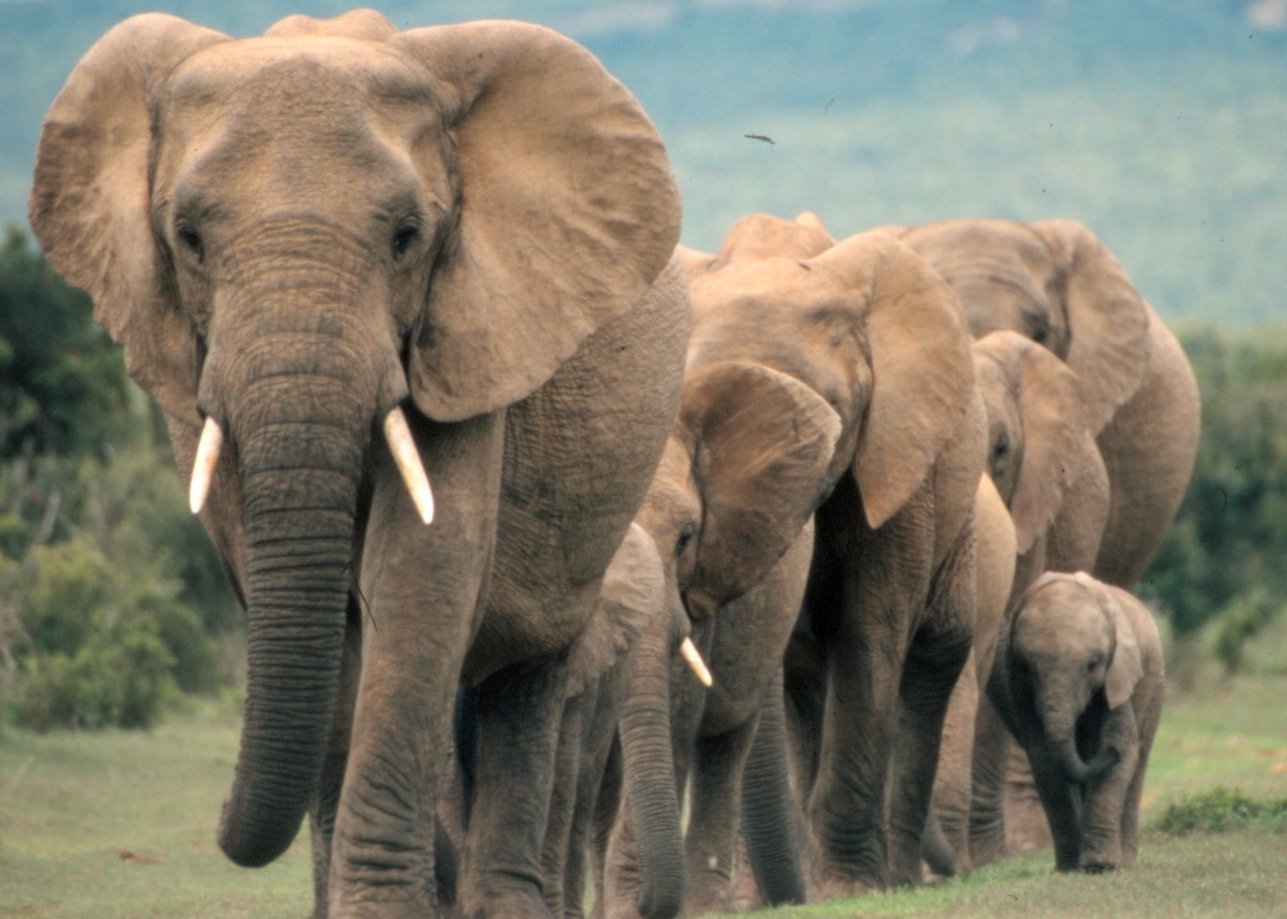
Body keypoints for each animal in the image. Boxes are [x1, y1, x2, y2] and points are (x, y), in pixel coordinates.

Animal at [29, 10, 688, 919]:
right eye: (187, 239)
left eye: (407, 237)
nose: (219, 818)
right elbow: (303, 594)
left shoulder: (472, 329)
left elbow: (420, 574)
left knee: (530, 676)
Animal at [672, 213, 985, 894]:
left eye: (835, 413)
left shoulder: (896, 459)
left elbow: (869, 633)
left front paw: (853, 890)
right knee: (806, 683)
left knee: (928, 668)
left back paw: (899, 877)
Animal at [986, 572, 1164, 873]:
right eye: (1026, 667)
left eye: (1093, 664)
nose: (1109, 752)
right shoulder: (1019, 690)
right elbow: (1045, 761)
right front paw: (1070, 867)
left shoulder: (1119, 674)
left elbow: (1123, 753)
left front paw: (1100, 866)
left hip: (1154, 683)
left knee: (1138, 762)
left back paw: (1126, 861)